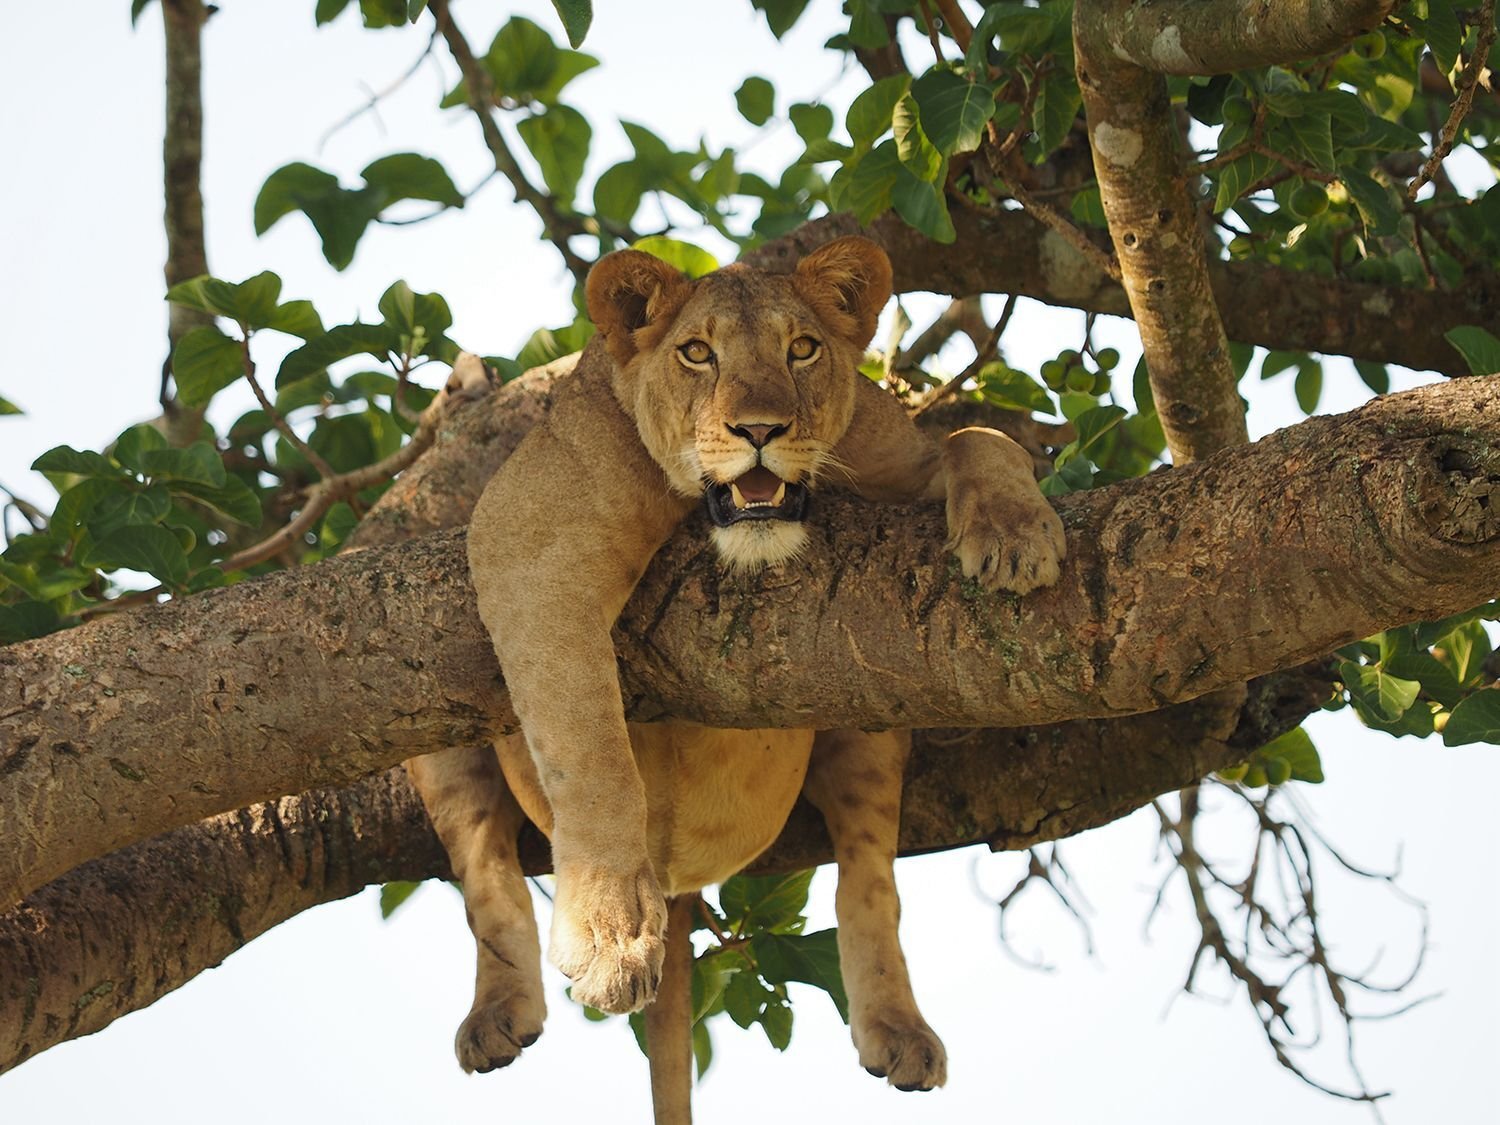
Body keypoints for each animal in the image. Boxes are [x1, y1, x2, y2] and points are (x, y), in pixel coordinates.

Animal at [405, 237, 1065, 1119]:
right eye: (697, 353)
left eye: (803, 348)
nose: (760, 428)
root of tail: (681, 883)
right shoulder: (527, 540)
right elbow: (592, 751)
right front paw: (613, 937)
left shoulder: (896, 454)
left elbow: (978, 435)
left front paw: (1017, 533)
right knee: (484, 868)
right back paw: (498, 1014)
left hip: (875, 704)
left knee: (869, 876)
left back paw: (898, 1029)